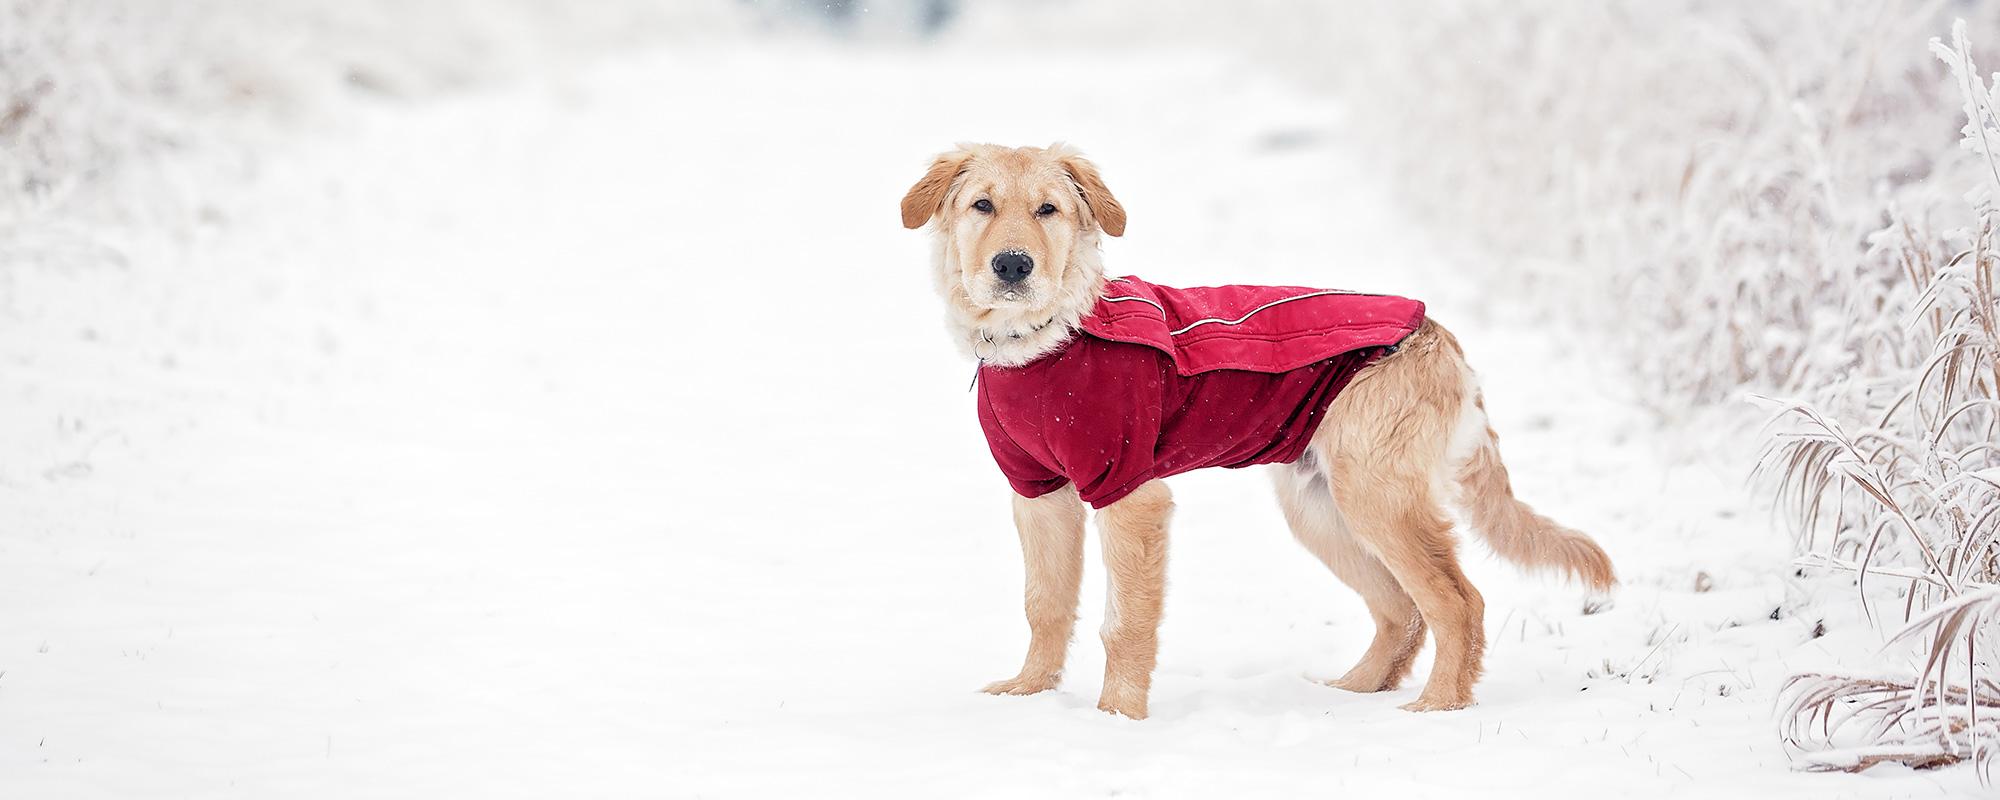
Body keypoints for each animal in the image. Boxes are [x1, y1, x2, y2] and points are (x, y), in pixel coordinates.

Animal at [900, 142, 1616, 720]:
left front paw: (1117, 719)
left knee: (1456, 602)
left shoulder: (1130, 493)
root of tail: (1439, 335)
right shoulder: (1039, 493)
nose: (1013, 266)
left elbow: (1124, 623)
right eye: (983, 205)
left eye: (1047, 210)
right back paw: (1353, 691)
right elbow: (1043, 604)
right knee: (1402, 610)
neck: (1048, 339)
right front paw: (1028, 697)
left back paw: (1438, 707)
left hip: (1376, 497)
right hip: (1320, 507)